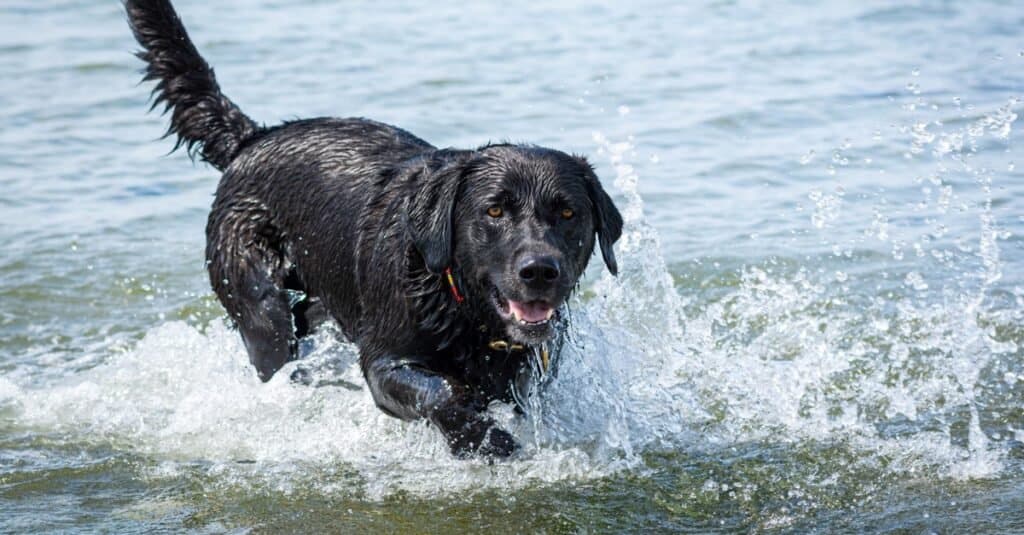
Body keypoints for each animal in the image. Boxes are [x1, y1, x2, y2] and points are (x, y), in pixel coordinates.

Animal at [128, 1, 622, 457]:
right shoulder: (384, 360)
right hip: (259, 305)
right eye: (495, 211)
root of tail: (253, 138)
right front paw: (481, 439)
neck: (457, 303)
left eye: (568, 214)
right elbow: (440, 390)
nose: (539, 270)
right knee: (273, 341)